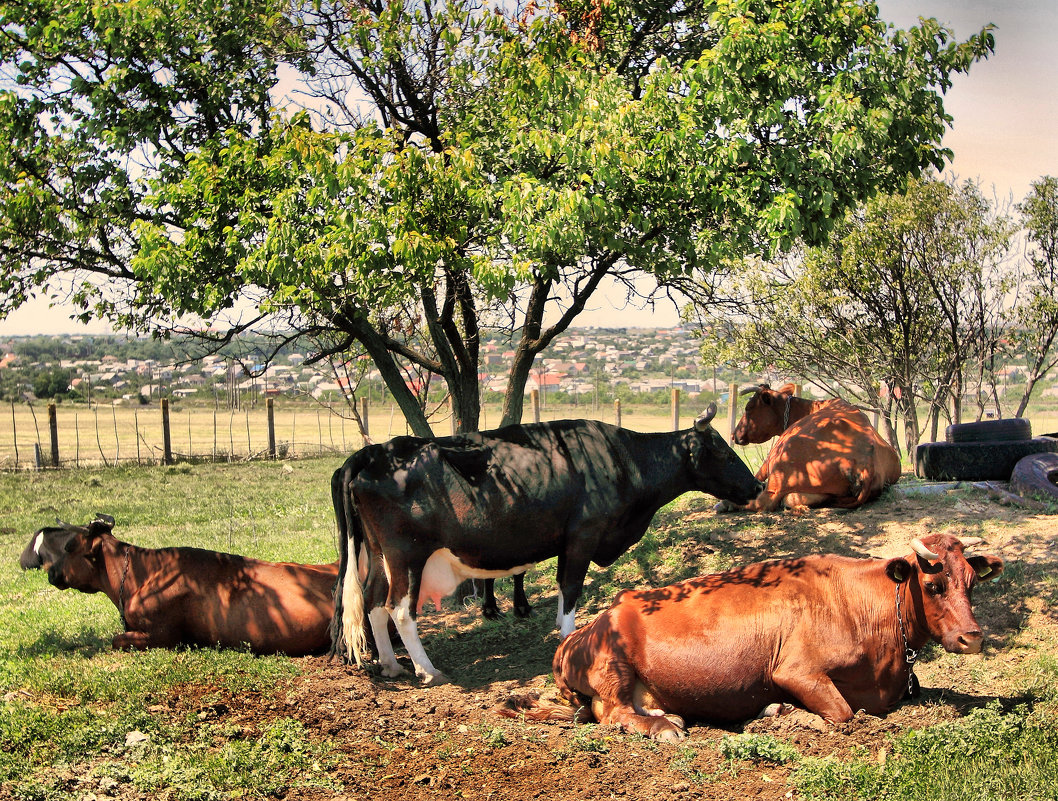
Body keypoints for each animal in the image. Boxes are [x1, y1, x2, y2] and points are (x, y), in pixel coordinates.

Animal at [330, 402, 761, 685]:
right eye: (725, 453)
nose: (757, 486)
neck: (621, 460)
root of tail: (373, 452)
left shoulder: (567, 540)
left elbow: (560, 584)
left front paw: (558, 626)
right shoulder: (584, 534)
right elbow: (571, 587)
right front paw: (567, 637)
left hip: (380, 555)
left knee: (373, 604)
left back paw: (391, 665)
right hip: (407, 554)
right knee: (400, 609)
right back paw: (428, 670)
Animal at [499, 533, 1002, 740]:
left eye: (971, 583)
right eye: (933, 585)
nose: (972, 637)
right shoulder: (795, 670)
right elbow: (841, 713)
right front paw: (783, 714)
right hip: (613, 667)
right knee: (615, 714)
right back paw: (664, 727)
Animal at [719, 383, 901, 512]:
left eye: (748, 408)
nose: (734, 435)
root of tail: (866, 460)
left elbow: (758, 474)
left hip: (780, 462)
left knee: (765, 501)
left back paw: (728, 503)